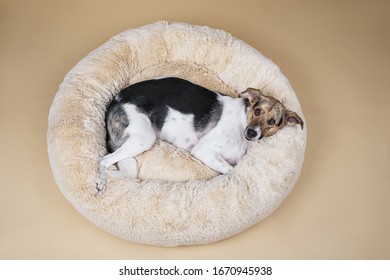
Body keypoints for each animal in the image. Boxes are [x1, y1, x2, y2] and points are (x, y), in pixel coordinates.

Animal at [96, 77, 304, 194]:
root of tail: (115, 100)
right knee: (104, 160)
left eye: (272, 121)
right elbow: (231, 170)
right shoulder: (204, 150)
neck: (243, 122)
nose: (251, 133)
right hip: (144, 138)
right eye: (257, 110)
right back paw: (101, 182)